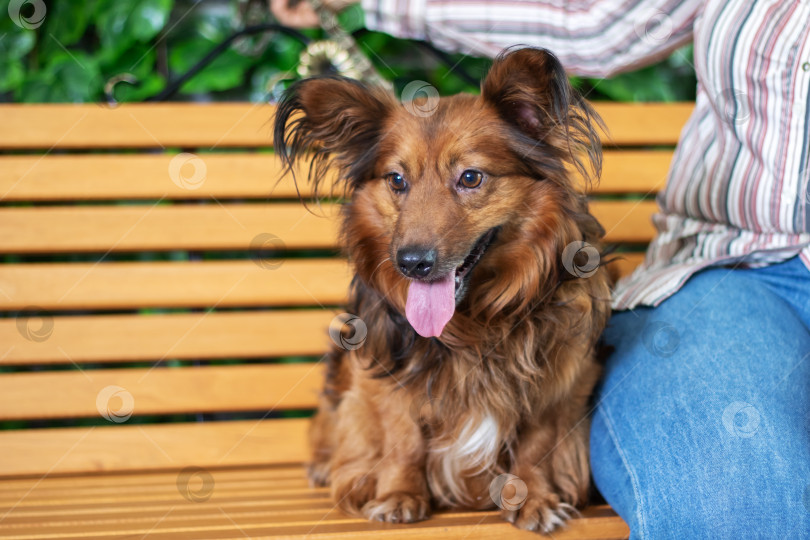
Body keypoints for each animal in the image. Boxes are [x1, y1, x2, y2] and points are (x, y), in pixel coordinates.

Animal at [274, 48, 608, 532]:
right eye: (396, 180)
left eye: (470, 178)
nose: (412, 263)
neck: (476, 323)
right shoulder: (382, 372)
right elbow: (402, 436)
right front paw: (398, 494)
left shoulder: (562, 376)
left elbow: (537, 440)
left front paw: (534, 496)